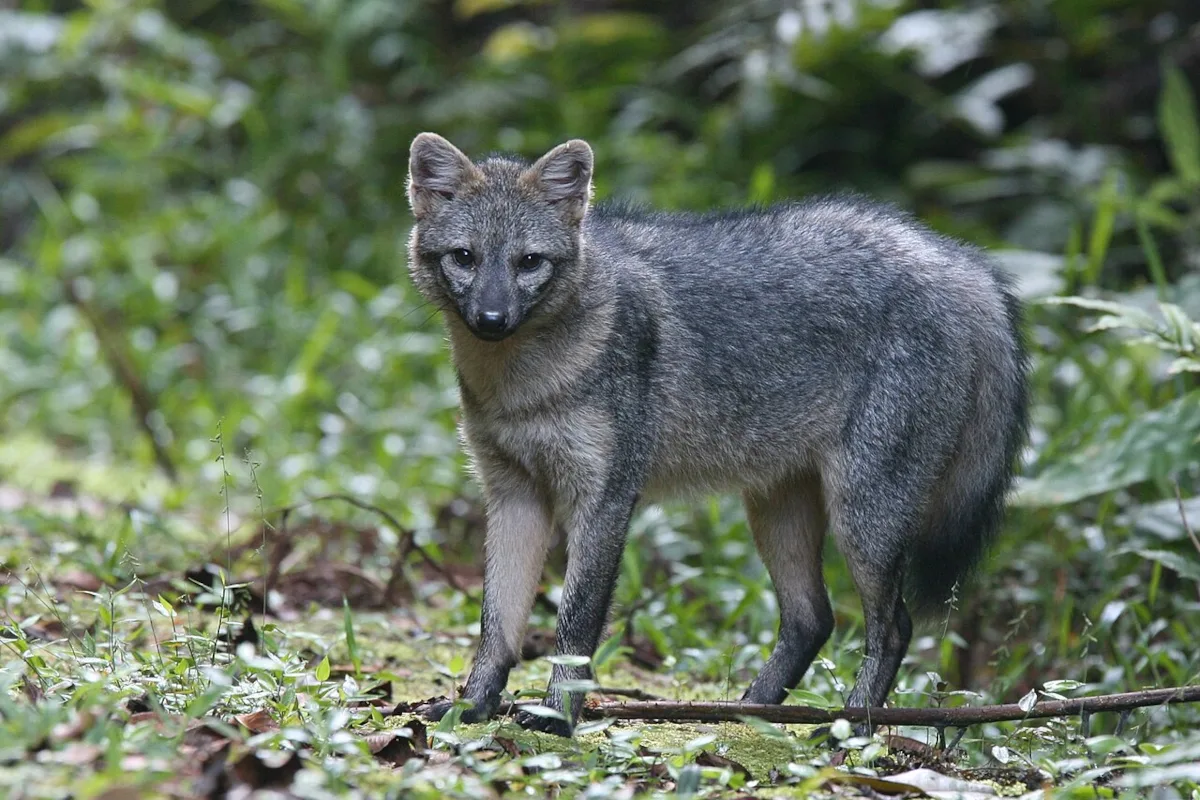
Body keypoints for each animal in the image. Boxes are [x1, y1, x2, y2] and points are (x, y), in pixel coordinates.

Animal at [406, 132, 1028, 737]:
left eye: (529, 262)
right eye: (465, 257)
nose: (491, 319)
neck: (524, 387)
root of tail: (957, 259)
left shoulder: (604, 499)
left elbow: (576, 624)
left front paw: (557, 718)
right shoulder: (514, 494)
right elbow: (496, 623)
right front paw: (473, 706)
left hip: (863, 519)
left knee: (893, 625)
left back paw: (849, 729)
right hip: (779, 512)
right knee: (813, 619)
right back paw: (753, 711)